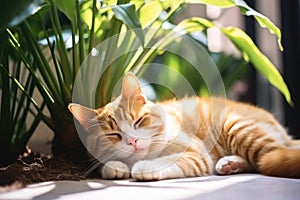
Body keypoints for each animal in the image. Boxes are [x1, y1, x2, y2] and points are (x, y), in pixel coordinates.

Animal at [68, 72, 300, 181]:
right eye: (114, 134)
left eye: (139, 121)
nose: (132, 141)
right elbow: (108, 164)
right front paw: (115, 166)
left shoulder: (195, 154)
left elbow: (166, 161)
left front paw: (143, 167)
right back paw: (231, 164)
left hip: (237, 127)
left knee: (269, 157)